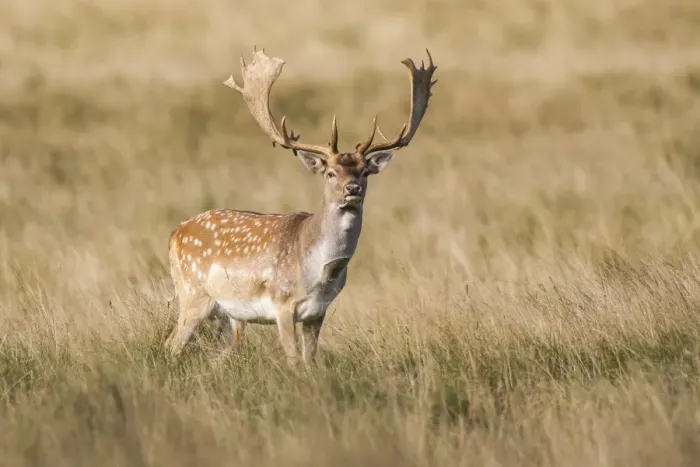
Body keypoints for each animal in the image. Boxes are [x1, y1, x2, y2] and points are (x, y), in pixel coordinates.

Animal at [164, 46, 437, 364]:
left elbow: (310, 360)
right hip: (193, 294)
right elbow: (294, 361)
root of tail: (175, 234)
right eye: (330, 172)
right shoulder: (282, 303)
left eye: (364, 172)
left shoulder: (318, 312)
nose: (352, 189)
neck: (319, 274)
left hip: (225, 316)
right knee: (171, 344)